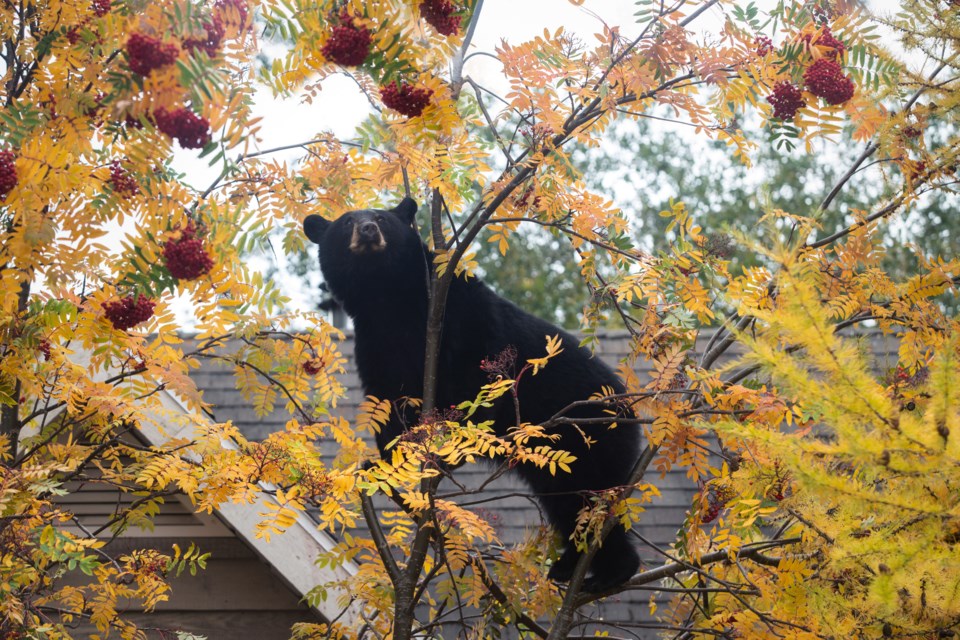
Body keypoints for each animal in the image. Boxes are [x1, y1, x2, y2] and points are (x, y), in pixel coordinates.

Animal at [304, 196, 640, 592]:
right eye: (346, 223)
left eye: (383, 219)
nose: (368, 229)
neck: (388, 300)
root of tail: (629, 408)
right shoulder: (376, 343)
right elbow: (387, 398)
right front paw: (387, 459)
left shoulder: (458, 308)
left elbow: (478, 368)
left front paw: (459, 436)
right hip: (557, 462)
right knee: (570, 506)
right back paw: (572, 568)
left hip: (592, 439)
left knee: (593, 498)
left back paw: (611, 572)